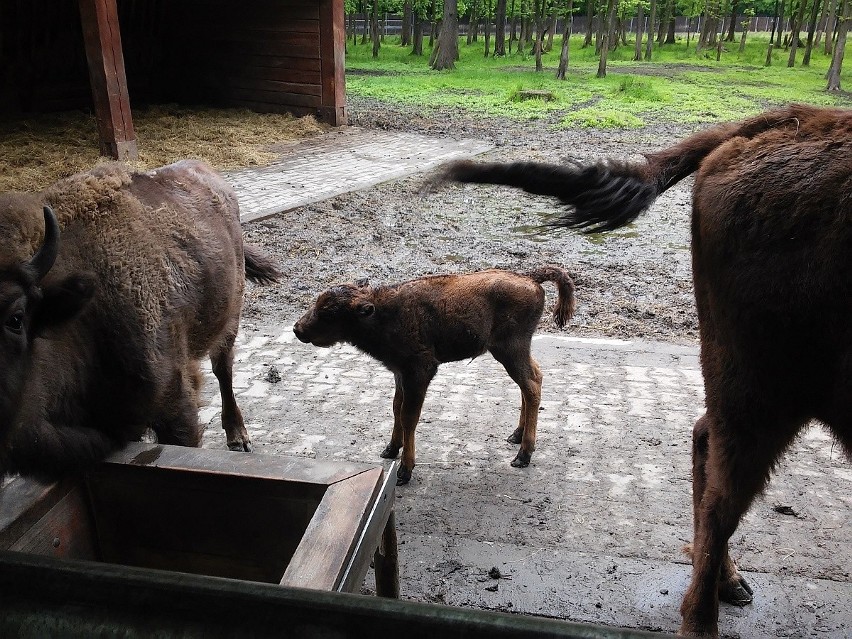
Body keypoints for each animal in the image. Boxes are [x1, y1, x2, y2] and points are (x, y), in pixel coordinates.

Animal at [292, 266, 580, 484]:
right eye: (318, 302)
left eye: (329, 313)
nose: (297, 329)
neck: (383, 314)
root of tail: (530, 277)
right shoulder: (399, 373)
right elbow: (396, 409)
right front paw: (390, 449)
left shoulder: (419, 372)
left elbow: (409, 417)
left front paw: (405, 470)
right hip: (514, 352)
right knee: (532, 380)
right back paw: (516, 436)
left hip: (510, 349)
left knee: (531, 384)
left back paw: (523, 455)